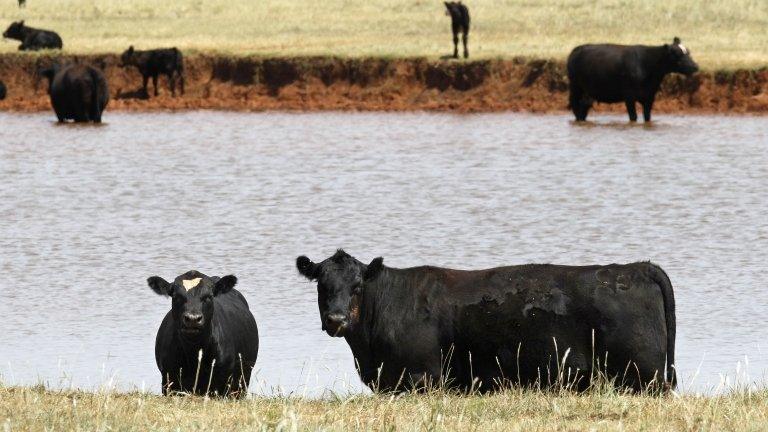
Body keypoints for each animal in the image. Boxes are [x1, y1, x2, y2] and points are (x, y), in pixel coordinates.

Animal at [296, 250, 676, 394]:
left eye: (357, 287)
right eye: (323, 286)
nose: (336, 318)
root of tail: (636, 267)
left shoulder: (422, 378)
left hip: (644, 374)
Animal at [568, 37, 700, 122]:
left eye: (688, 52)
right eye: (677, 55)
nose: (695, 66)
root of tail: (577, 49)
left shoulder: (649, 96)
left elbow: (647, 117)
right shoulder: (629, 96)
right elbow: (633, 117)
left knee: (584, 106)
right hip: (575, 87)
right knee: (575, 107)